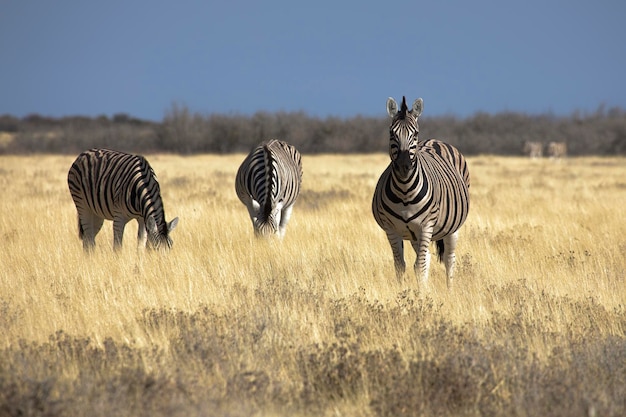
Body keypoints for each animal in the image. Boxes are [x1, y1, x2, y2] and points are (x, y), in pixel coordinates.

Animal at [370, 96, 468, 288]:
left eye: (415, 133)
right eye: (391, 133)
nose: (404, 166)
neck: (405, 192)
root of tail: (434, 140)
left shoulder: (426, 226)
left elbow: (420, 266)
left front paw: (421, 293)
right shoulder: (391, 229)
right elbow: (400, 265)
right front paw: (403, 292)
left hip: (452, 228)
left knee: (449, 259)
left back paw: (450, 290)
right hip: (414, 235)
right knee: (427, 257)